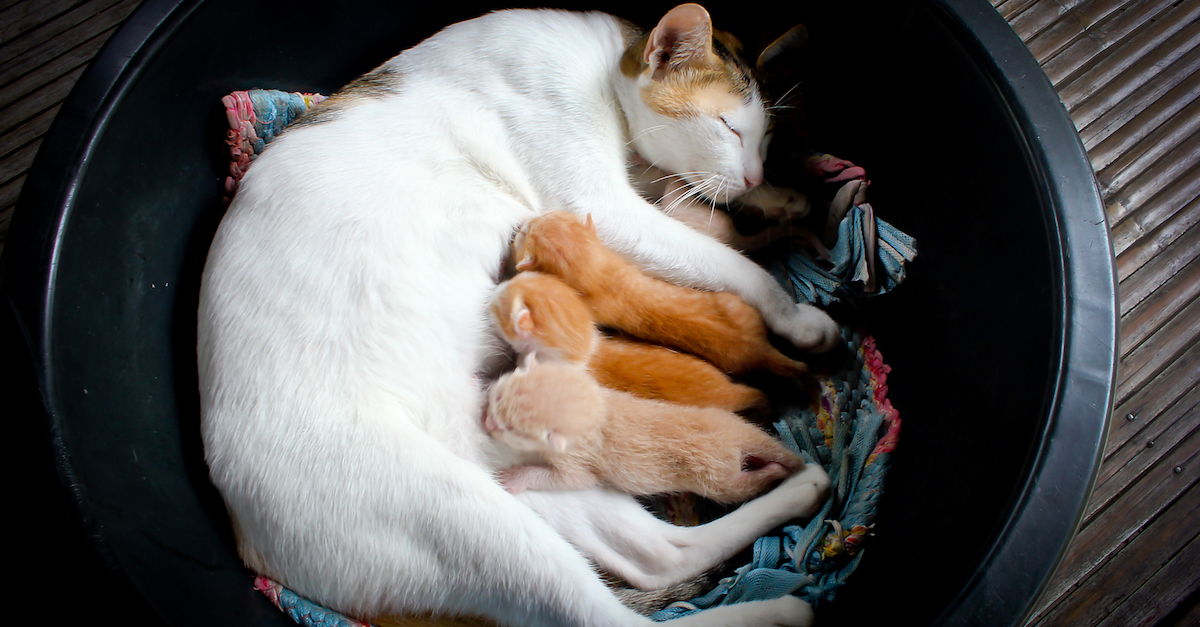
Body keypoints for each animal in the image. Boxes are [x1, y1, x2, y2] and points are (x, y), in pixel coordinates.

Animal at [482, 350, 801, 502]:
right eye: (498, 396)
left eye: (511, 430)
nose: (485, 421)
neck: (599, 409)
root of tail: (734, 436)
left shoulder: (576, 456)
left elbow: (575, 480)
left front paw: (515, 478)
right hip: (727, 419)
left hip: (718, 477)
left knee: (739, 487)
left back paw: (775, 471)